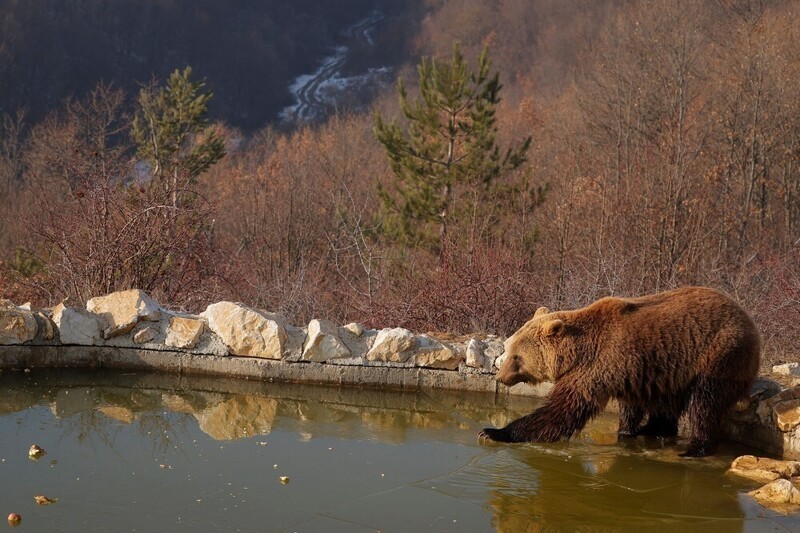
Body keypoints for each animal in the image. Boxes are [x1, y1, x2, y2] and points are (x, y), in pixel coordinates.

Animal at [478, 286, 760, 458]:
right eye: (509, 348)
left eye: (517, 356)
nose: (500, 376)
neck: (577, 351)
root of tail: (747, 318)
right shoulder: (633, 371)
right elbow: (630, 405)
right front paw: (626, 431)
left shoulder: (599, 365)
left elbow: (563, 410)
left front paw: (494, 432)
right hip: (674, 369)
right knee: (668, 402)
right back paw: (653, 429)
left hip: (719, 355)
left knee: (704, 402)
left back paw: (694, 448)